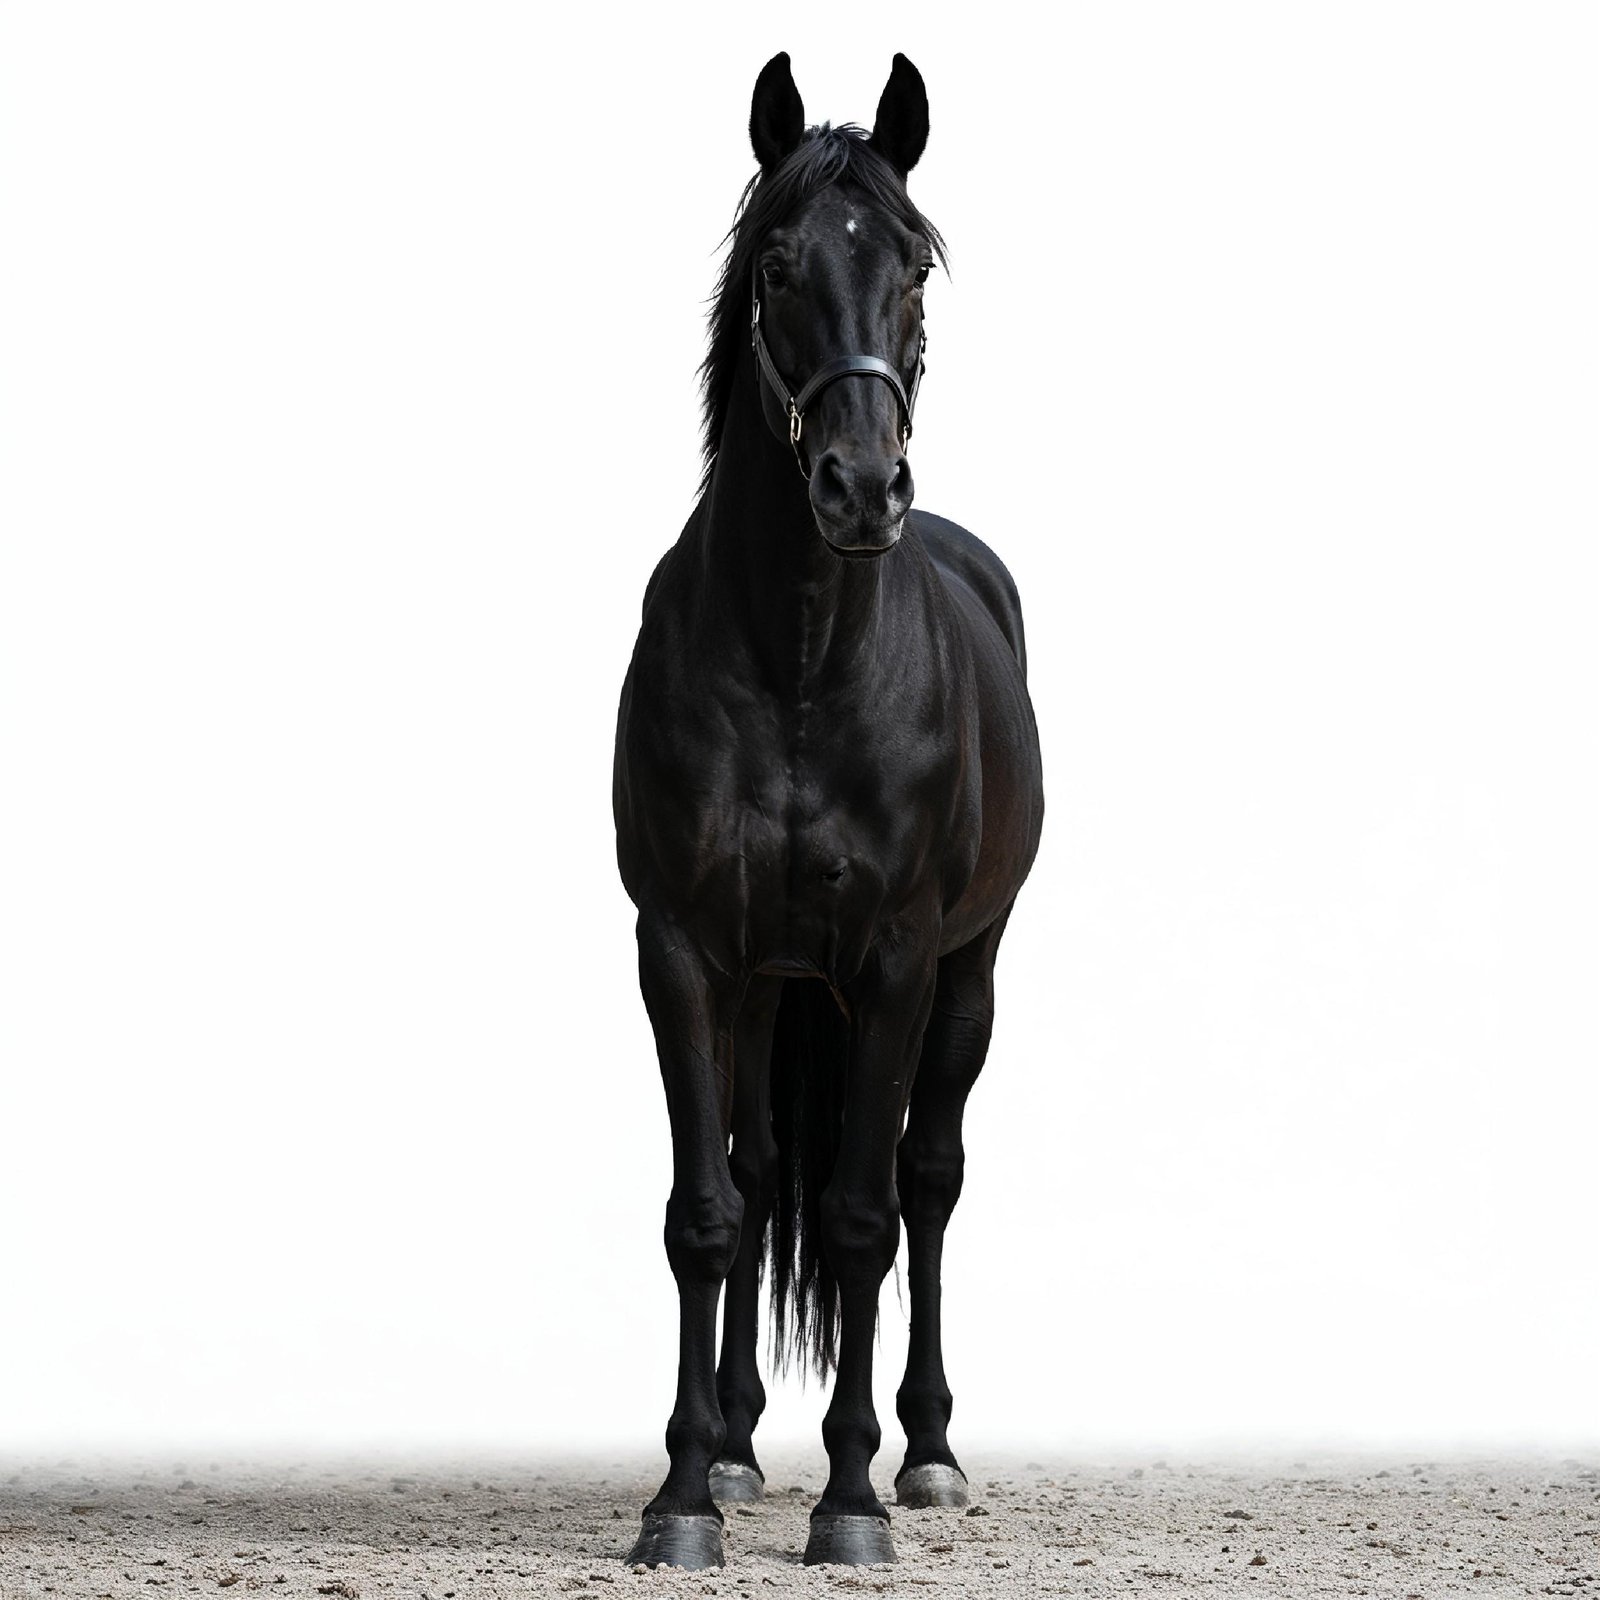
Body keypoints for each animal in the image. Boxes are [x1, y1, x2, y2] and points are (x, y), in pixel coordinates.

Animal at [612, 52, 1044, 1570]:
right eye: (778, 264)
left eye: (912, 265)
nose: (862, 488)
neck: (800, 659)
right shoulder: (683, 952)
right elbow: (708, 1213)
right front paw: (684, 1493)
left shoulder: (900, 962)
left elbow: (862, 1218)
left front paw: (852, 1499)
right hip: (764, 990)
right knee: (755, 1171)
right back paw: (744, 1447)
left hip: (965, 979)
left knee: (927, 1183)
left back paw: (926, 1453)